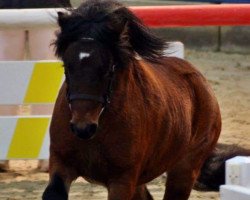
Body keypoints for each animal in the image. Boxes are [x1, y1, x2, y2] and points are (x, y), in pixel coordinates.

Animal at [42, 0, 221, 199]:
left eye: (108, 69)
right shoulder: (61, 164)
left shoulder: (122, 180)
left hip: (184, 170)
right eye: (67, 66)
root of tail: (201, 82)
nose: (83, 128)